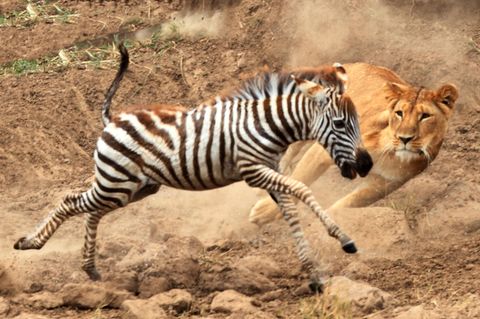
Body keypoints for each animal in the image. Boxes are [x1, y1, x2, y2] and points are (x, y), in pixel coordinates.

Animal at [15, 44, 374, 292]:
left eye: (356, 122)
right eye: (340, 124)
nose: (367, 164)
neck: (269, 126)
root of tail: (112, 118)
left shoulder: (269, 172)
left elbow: (290, 212)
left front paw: (314, 273)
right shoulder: (253, 170)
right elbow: (302, 189)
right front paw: (343, 239)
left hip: (133, 187)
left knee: (91, 212)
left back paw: (89, 267)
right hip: (117, 182)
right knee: (71, 201)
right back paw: (30, 244)